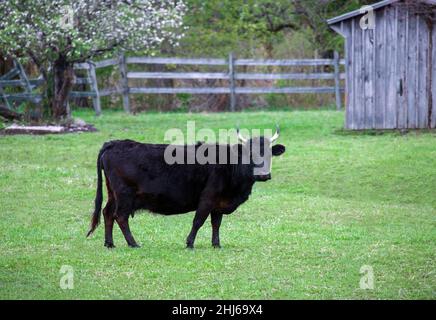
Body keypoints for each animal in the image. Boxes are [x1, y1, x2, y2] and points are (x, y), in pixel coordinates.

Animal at [86, 129, 286, 249]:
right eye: (250, 154)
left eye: (270, 155)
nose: (264, 175)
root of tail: (113, 143)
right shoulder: (208, 197)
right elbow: (198, 221)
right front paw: (190, 243)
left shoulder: (218, 202)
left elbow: (216, 224)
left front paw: (216, 244)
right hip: (125, 195)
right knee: (120, 216)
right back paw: (133, 243)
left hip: (113, 194)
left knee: (107, 213)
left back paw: (109, 243)